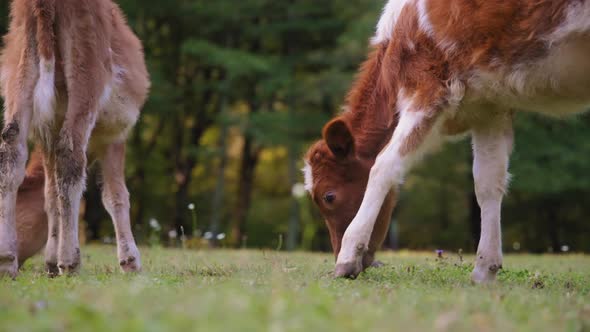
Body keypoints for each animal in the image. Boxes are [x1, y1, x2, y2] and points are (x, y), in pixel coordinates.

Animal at [0, 0, 150, 278]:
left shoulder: (47, 134)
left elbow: (51, 196)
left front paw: (50, 261)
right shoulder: (116, 135)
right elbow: (116, 195)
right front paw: (130, 261)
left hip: (20, 69)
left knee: (11, 150)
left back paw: (6, 260)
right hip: (87, 69)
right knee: (70, 153)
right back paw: (71, 261)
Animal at [306, 0, 590, 282]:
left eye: (328, 196)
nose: (335, 252)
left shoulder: (428, 86)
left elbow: (383, 166)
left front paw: (347, 257)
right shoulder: (491, 106)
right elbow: (488, 182)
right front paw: (484, 270)